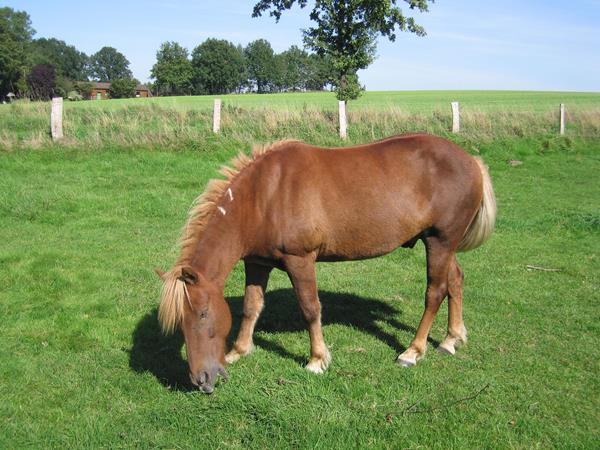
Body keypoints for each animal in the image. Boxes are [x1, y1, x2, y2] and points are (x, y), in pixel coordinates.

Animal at [156, 134, 496, 394]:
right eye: (180, 321)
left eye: (202, 314)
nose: (202, 380)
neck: (263, 195)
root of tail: (471, 161)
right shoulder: (257, 263)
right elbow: (252, 307)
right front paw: (239, 351)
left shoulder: (300, 260)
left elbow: (310, 309)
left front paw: (317, 360)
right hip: (441, 243)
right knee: (456, 280)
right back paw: (451, 339)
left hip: (440, 242)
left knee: (435, 292)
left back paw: (412, 351)